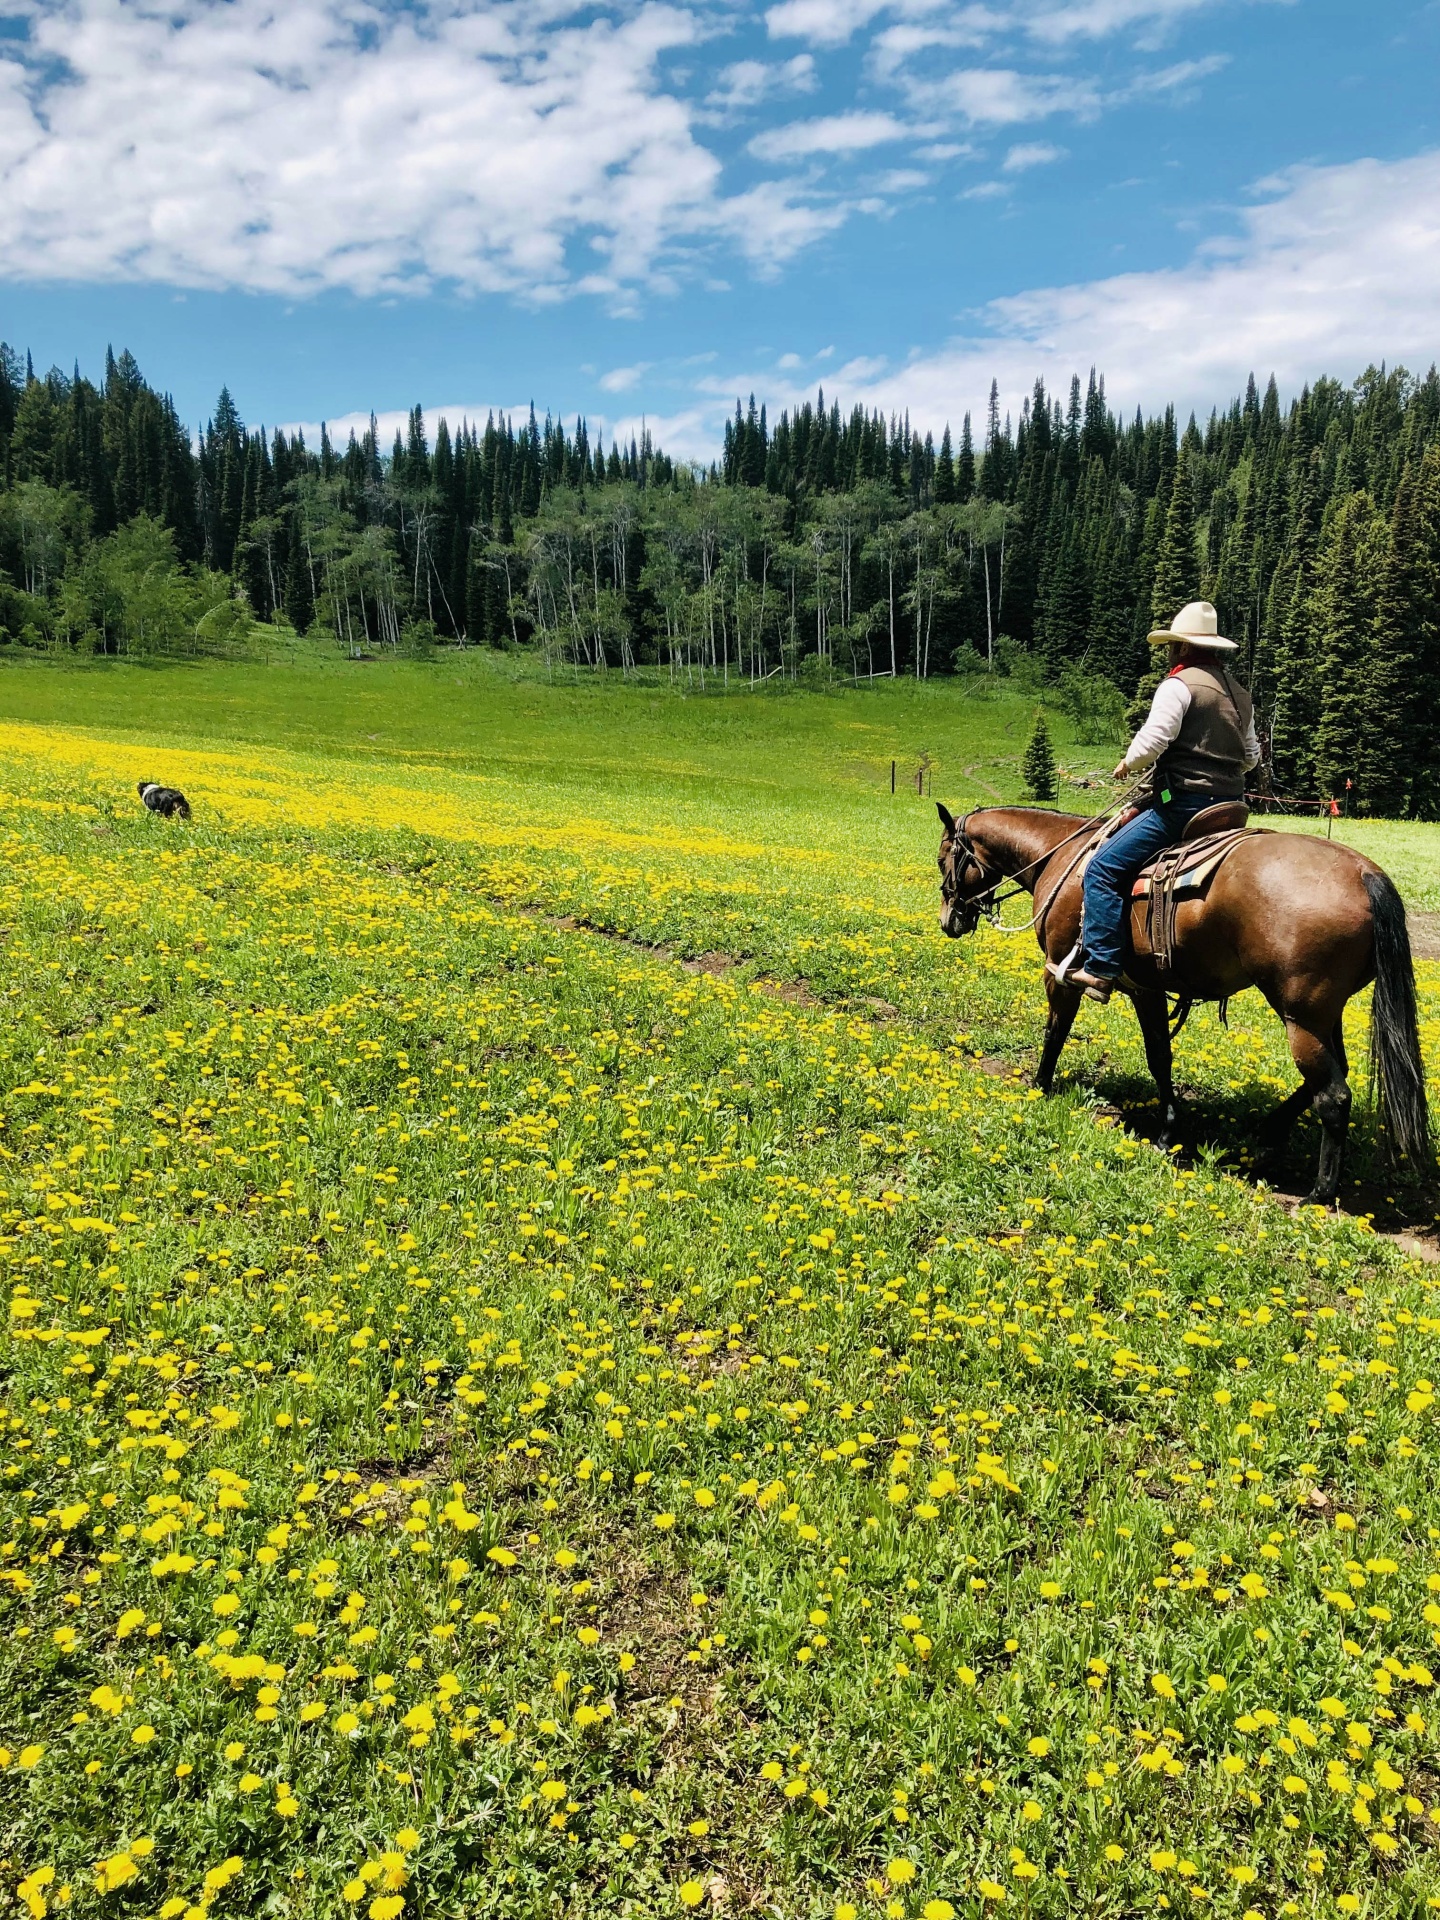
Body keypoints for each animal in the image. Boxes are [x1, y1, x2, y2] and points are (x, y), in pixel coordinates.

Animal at [935, 803, 1431, 1206]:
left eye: (943, 858)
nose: (949, 921)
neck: (1061, 857)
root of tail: (1365, 875)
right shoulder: (1147, 989)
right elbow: (1160, 1056)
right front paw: (1167, 1132)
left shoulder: (1059, 972)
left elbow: (1055, 1032)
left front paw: (1039, 1086)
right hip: (1326, 1013)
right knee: (1332, 1075)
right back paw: (1267, 1132)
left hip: (1301, 1014)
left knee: (1333, 1095)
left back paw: (1320, 1192)